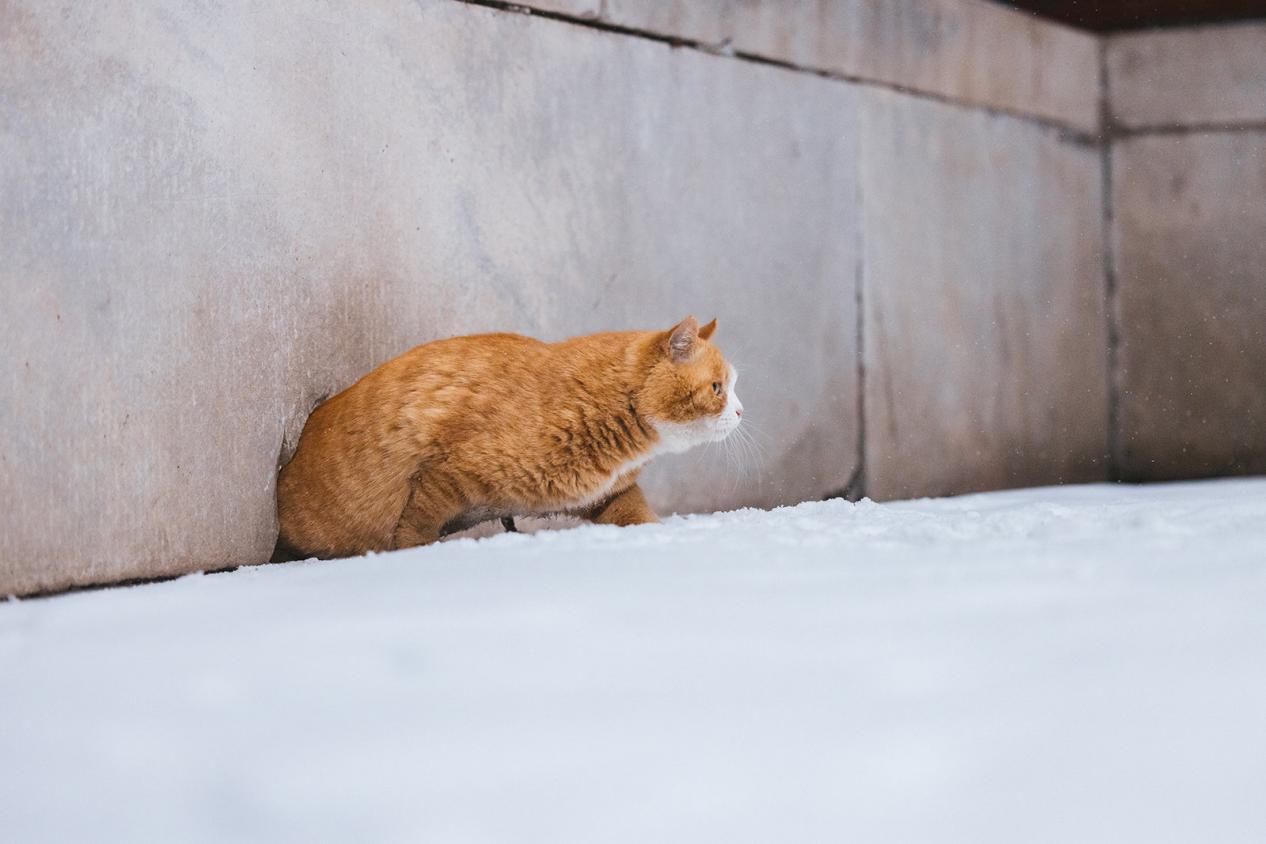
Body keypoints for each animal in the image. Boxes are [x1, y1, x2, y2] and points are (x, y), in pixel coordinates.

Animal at [277, 313, 739, 556]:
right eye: (718, 388)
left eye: (731, 387)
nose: (740, 411)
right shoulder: (444, 478)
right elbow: (413, 529)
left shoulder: (609, 495)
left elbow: (640, 516)